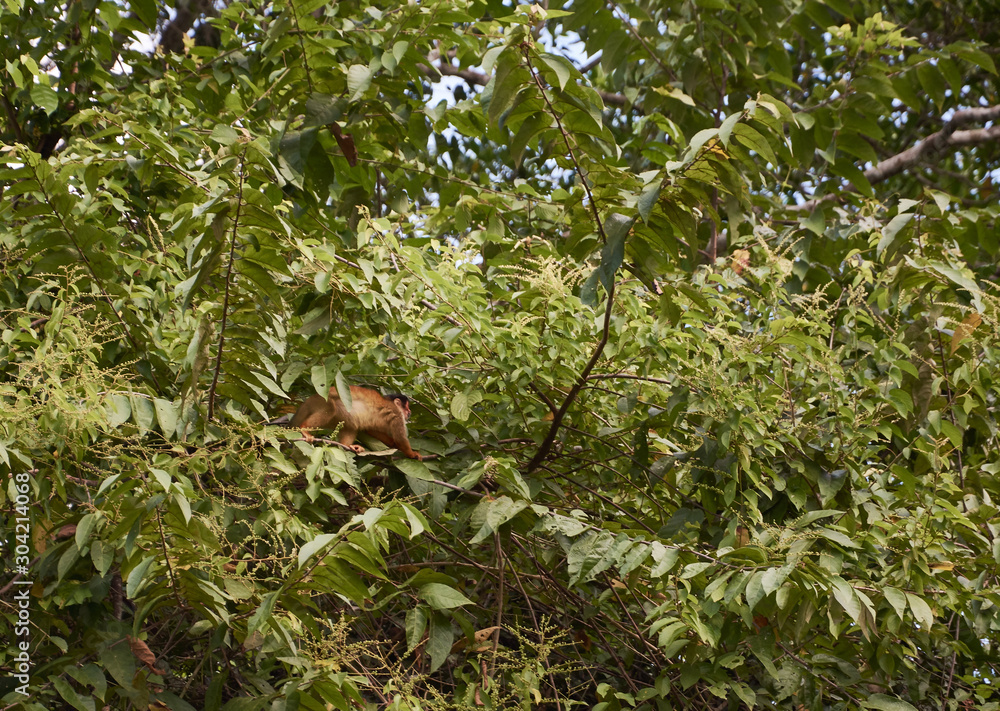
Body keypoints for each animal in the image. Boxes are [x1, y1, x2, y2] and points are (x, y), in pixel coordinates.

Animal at [289, 385, 422, 460]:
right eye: (407, 407)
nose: (409, 412)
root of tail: (310, 399)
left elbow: (371, 430)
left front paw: (392, 443)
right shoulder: (397, 415)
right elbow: (400, 438)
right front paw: (411, 454)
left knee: (351, 425)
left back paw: (347, 446)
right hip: (324, 401)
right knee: (331, 409)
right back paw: (304, 429)